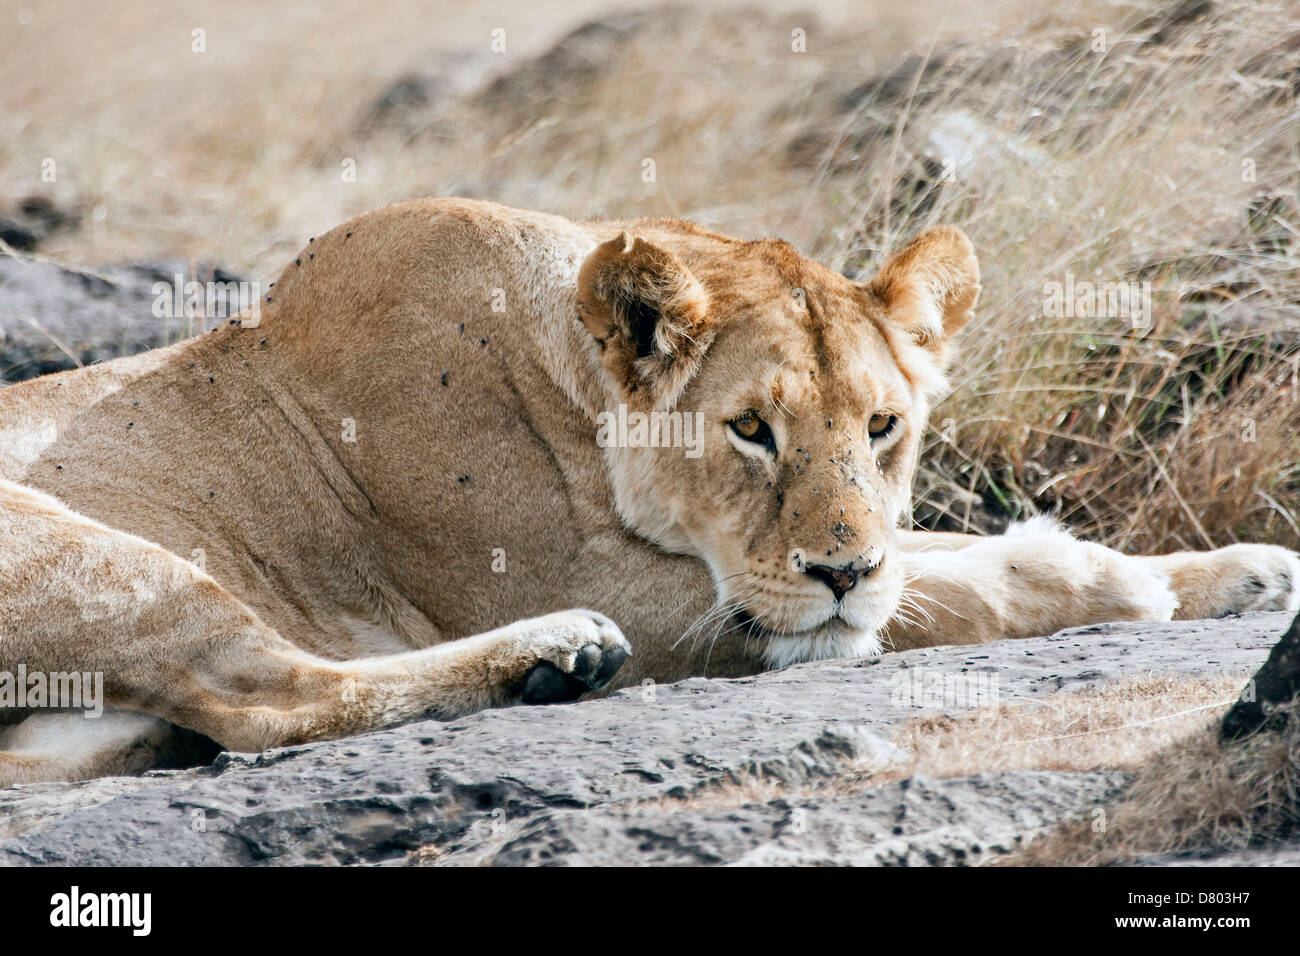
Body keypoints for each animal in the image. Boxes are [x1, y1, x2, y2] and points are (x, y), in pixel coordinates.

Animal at [2, 197, 1297, 786]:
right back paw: (553, 656)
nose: (839, 563)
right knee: (266, 694)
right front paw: (1105, 577)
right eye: (751, 431)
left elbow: (919, 547)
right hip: (91, 551)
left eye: (883, 426)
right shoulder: (678, 595)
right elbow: (926, 589)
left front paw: (1243, 569)